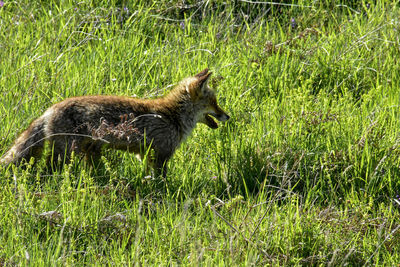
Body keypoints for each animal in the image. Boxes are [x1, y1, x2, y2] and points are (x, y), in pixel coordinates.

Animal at [0, 69, 230, 178]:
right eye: (214, 103)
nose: (227, 116)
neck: (171, 116)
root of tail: (48, 110)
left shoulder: (146, 155)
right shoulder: (161, 155)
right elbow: (162, 181)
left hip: (87, 152)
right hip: (66, 154)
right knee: (48, 170)